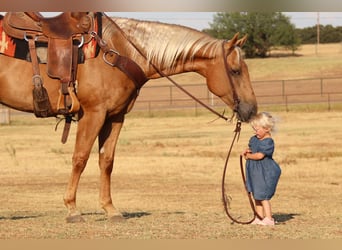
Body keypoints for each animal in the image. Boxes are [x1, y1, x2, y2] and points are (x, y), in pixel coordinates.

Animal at [0, 12, 256, 222]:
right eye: (235, 71)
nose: (251, 109)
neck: (120, 50)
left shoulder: (115, 116)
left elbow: (106, 161)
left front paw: (110, 209)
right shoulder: (93, 114)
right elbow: (80, 158)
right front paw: (72, 209)